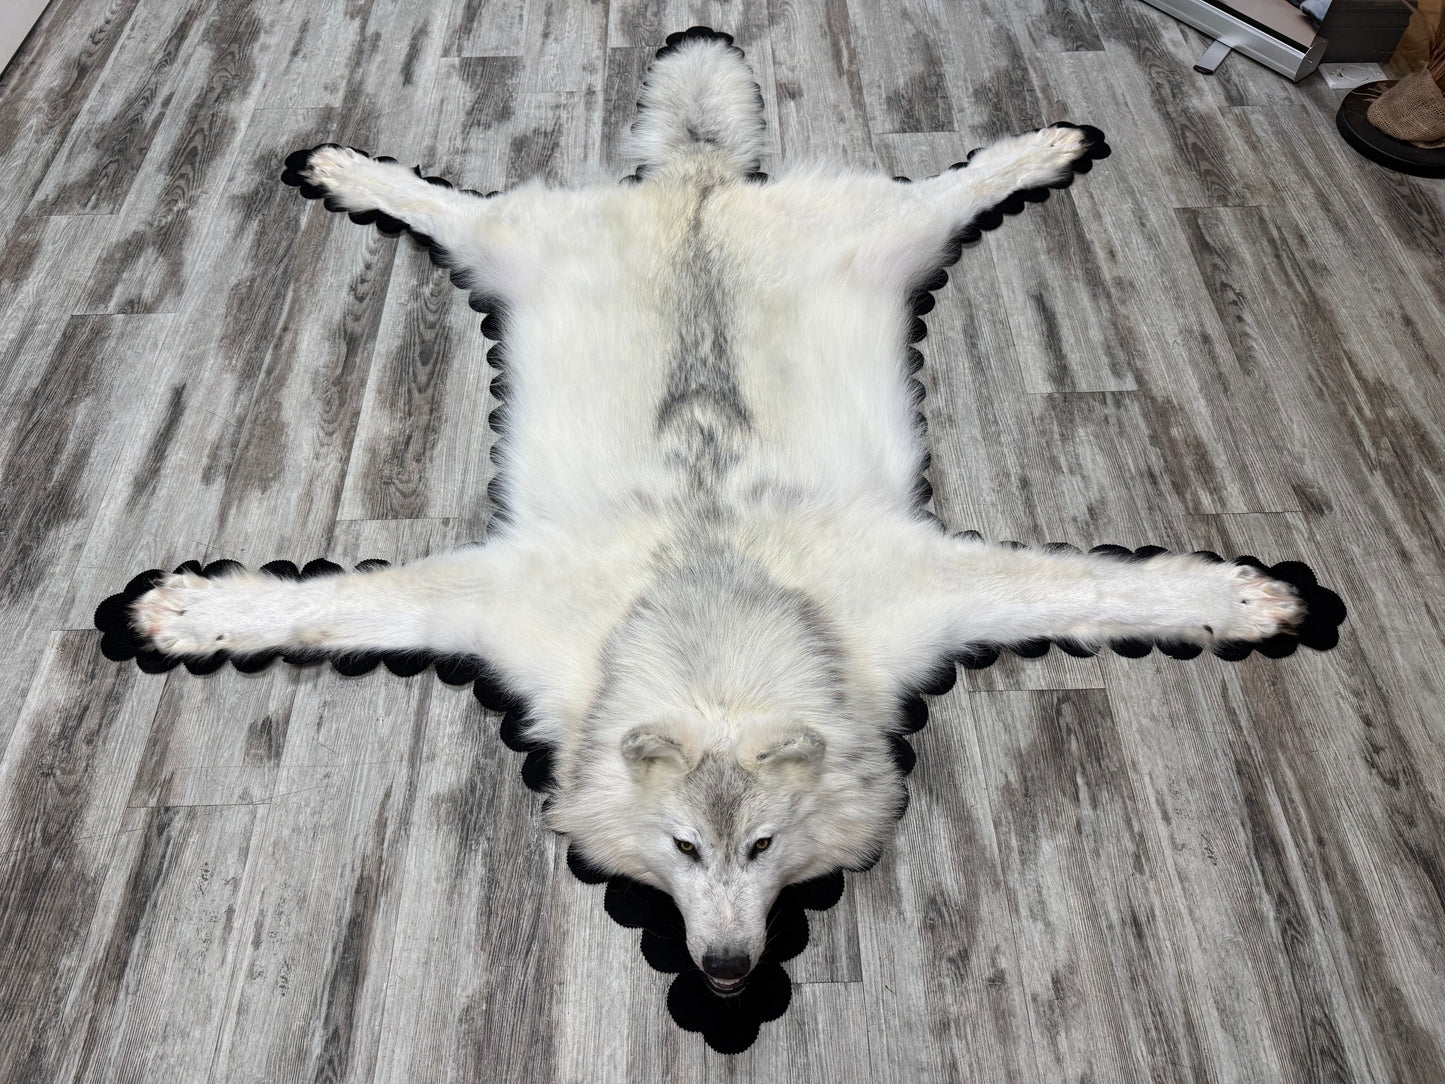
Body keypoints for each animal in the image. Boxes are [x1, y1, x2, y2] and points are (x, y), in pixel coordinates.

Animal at [129, 30, 1305, 996]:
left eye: (767, 847)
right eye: (684, 850)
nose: (732, 972)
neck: (715, 613)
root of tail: (698, 183)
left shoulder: (934, 590)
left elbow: (1106, 587)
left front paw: (1246, 600)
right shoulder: (488, 602)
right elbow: (330, 608)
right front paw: (190, 615)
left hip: (884, 238)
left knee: (953, 183)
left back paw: (1045, 147)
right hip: (519, 245)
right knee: (450, 204)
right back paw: (347, 169)